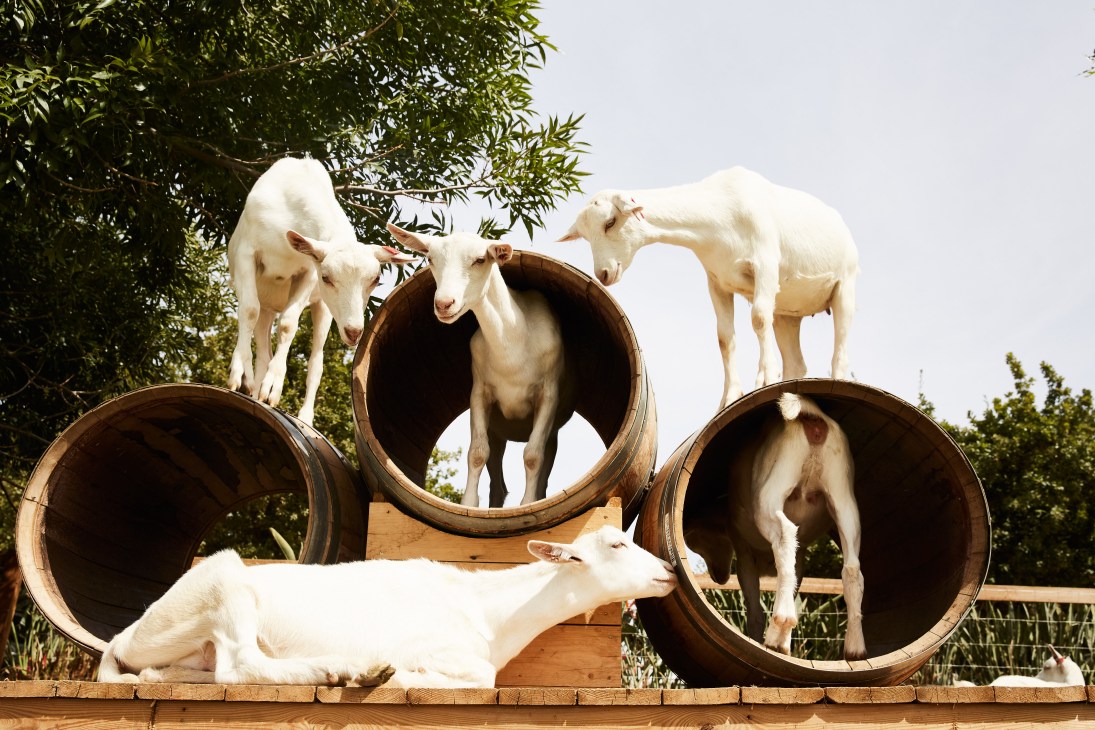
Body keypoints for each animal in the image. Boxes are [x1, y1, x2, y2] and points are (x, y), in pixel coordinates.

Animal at [97, 525, 678, 687]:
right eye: (618, 544)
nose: (670, 571)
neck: (486, 611)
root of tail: (121, 637)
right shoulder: (441, 647)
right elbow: (482, 678)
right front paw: (403, 675)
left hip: (183, 640)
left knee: (173, 672)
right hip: (222, 582)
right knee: (238, 668)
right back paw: (349, 670)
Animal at [226, 158, 415, 425]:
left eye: (376, 279)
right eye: (327, 277)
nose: (354, 332)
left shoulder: (306, 271)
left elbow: (288, 324)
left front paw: (272, 388)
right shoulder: (247, 253)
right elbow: (249, 310)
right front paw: (241, 375)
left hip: (323, 309)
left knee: (314, 360)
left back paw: (301, 415)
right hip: (268, 301)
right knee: (261, 336)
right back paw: (254, 387)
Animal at [386, 223, 577, 508]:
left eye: (479, 259)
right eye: (430, 259)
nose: (444, 304)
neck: (514, 345)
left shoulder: (548, 394)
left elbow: (533, 455)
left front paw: (527, 504)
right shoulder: (480, 394)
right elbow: (476, 453)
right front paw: (467, 506)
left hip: (551, 434)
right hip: (497, 432)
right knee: (497, 483)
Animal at [559, 167, 859, 410]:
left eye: (610, 222)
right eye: (586, 236)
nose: (603, 273)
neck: (720, 215)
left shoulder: (765, 265)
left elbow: (759, 318)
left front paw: (765, 378)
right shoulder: (717, 281)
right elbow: (724, 337)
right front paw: (730, 398)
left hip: (845, 287)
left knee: (841, 353)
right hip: (788, 311)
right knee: (796, 361)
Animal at [683, 392, 865, 659]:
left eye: (695, 542)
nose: (718, 577)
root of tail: (812, 420)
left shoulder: (743, 554)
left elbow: (754, 609)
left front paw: (759, 638)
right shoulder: (800, 559)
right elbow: (792, 579)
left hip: (771, 490)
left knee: (785, 533)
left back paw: (779, 629)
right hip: (843, 496)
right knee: (852, 566)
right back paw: (855, 648)